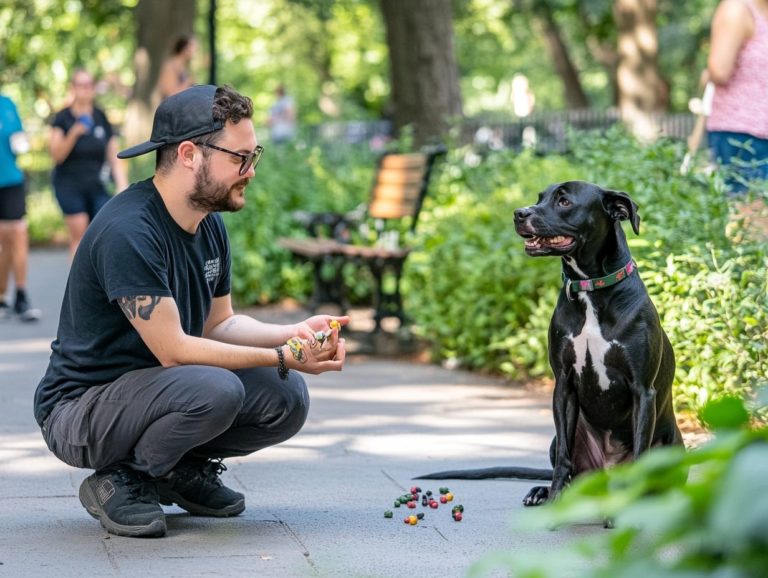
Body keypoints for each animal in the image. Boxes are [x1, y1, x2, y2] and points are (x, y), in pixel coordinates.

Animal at [420, 180, 684, 504]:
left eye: (564, 201)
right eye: (540, 198)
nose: (519, 213)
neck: (590, 289)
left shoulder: (642, 391)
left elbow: (639, 454)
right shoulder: (564, 385)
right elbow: (563, 462)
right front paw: (555, 498)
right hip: (558, 438)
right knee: (570, 468)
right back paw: (542, 492)